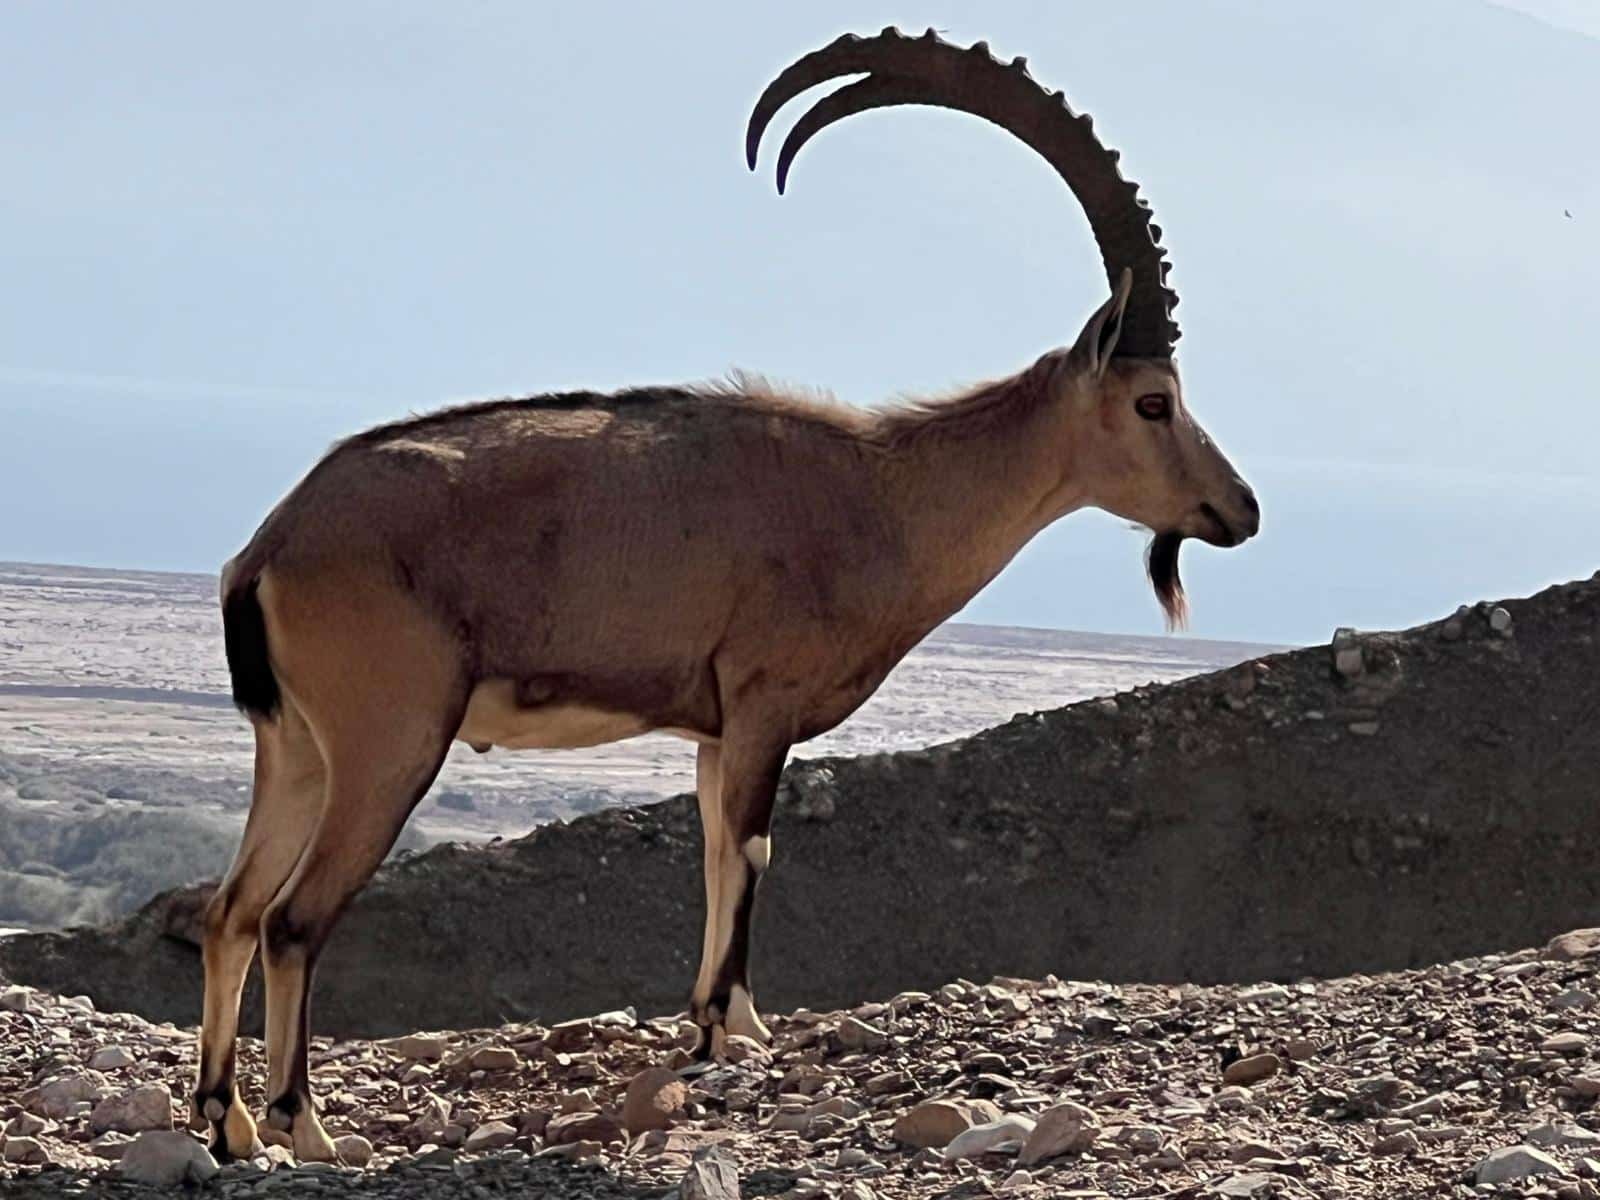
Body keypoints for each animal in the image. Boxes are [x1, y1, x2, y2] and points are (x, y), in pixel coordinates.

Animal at [193, 28, 1259, 1162]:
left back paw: (228, 1123)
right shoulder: (762, 703)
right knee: (292, 919)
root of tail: (271, 546)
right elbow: (751, 847)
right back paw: (305, 1128)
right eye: (1153, 402)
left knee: (228, 912)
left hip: (294, 748)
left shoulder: (712, 728)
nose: (1239, 510)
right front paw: (735, 1031)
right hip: (387, 741)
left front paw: (712, 1026)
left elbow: (710, 850)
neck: (883, 493)